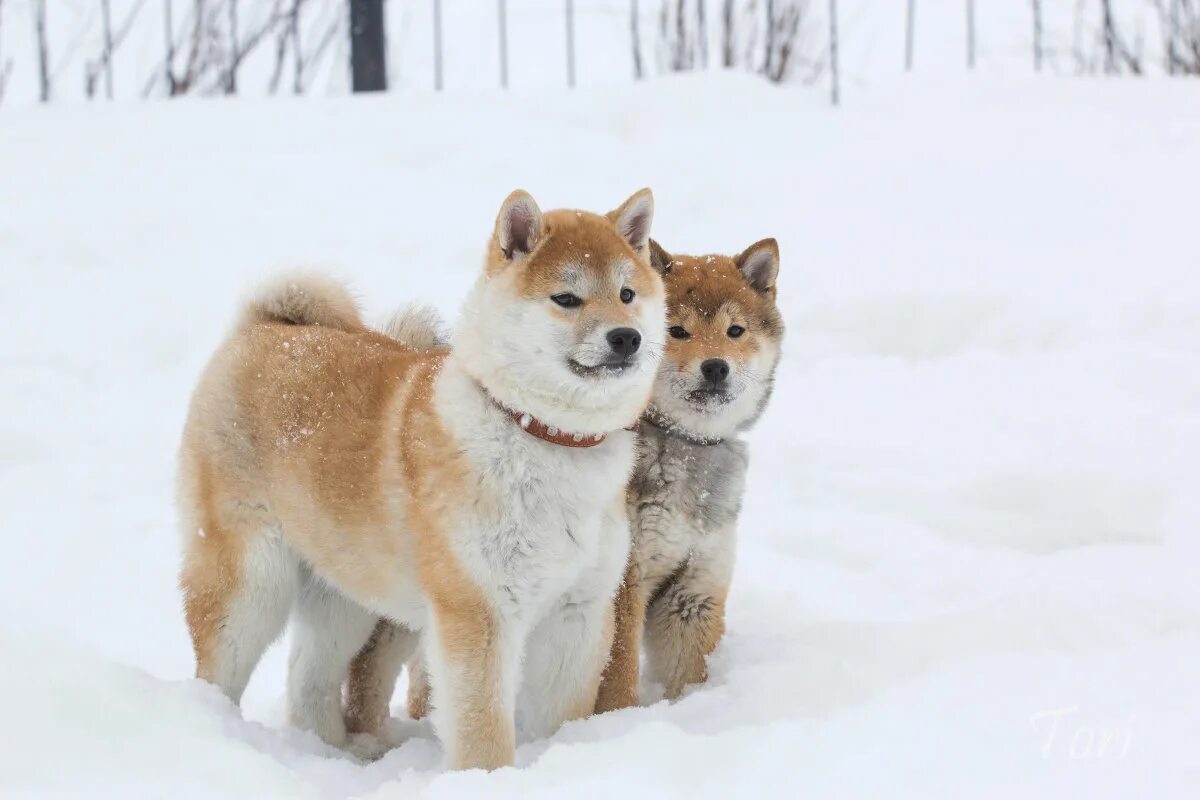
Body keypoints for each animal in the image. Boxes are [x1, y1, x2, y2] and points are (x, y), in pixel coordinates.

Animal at [177, 188, 667, 767]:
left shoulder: (578, 613)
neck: (543, 437)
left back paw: (334, 755)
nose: (626, 337)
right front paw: (491, 777)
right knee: (217, 672)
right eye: (566, 299)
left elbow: (565, 718)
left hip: (343, 595)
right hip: (252, 585)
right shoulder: (478, 614)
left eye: (627, 293)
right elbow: (483, 734)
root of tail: (263, 328)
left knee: (308, 682)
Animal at [592, 235, 787, 710]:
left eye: (735, 331)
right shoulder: (624, 584)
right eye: (677, 331)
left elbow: (689, 673)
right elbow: (618, 678)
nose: (715, 366)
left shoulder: (693, 591)